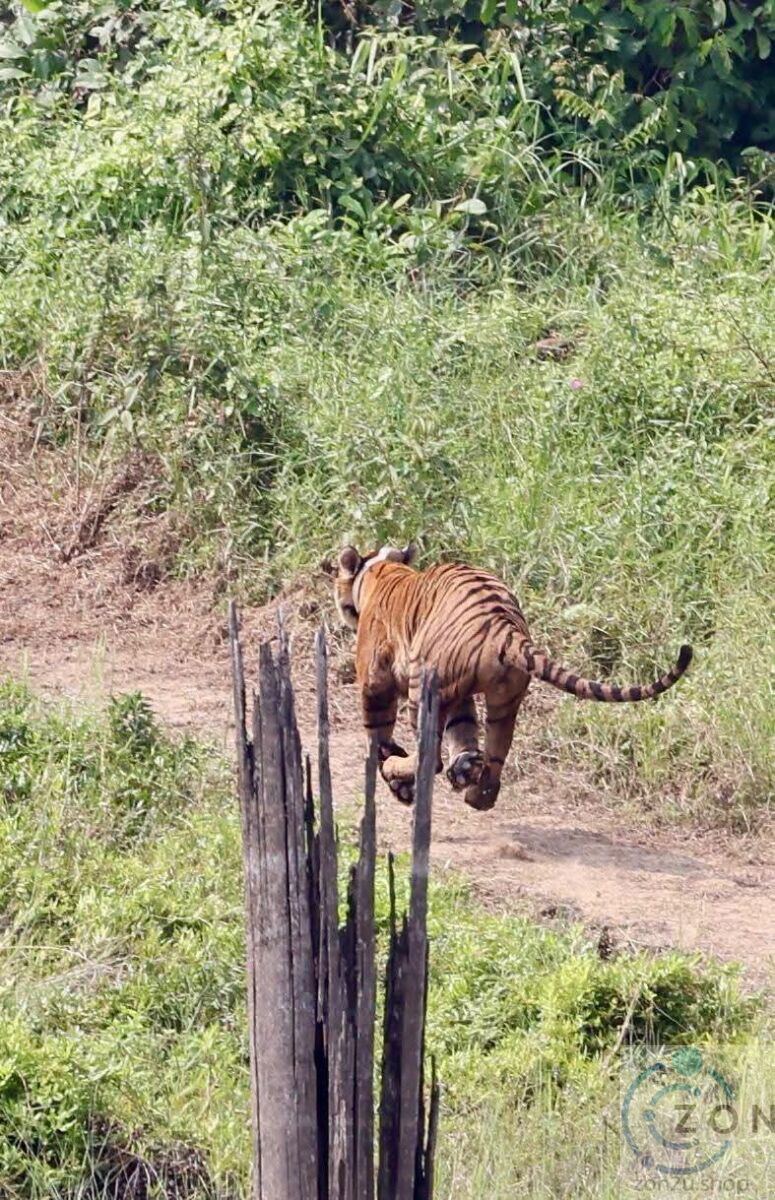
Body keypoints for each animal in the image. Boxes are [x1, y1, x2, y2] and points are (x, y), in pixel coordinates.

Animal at [334, 542, 693, 811]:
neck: (381, 570)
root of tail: (505, 627)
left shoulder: (376, 677)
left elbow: (377, 727)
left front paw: (384, 760)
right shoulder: (460, 695)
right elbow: (461, 727)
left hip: (423, 690)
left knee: (429, 756)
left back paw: (402, 769)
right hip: (504, 698)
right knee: (494, 755)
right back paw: (474, 787)